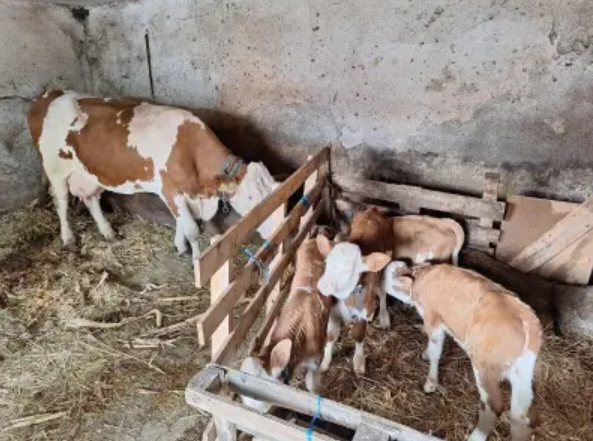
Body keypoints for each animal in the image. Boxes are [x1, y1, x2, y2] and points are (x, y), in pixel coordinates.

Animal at [27, 90, 279, 259]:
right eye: (250, 197)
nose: (272, 231)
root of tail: (50, 95)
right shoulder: (170, 191)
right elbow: (192, 229)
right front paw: (197, 259)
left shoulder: (182, 194)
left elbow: (180, 223)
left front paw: (180, 246)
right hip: (55, 171)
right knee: (61, 203)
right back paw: (68, 238)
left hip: (89, 174)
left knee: (91, 200)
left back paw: (108, 232)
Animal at [382, 261, 543, 441]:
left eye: (384, 276)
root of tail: (526, 322)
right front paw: (425, 353)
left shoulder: (434, 318)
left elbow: (436, 352)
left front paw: (431, 383)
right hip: (522, 374)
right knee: (523, 417)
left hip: (484, 368)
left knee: (493, 407)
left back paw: (475, 436)